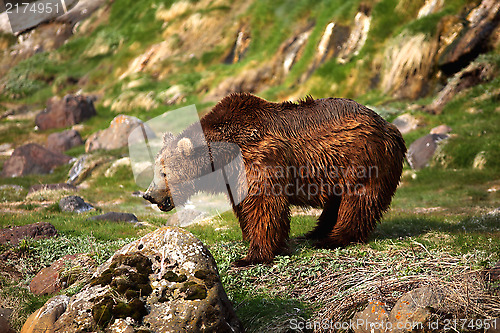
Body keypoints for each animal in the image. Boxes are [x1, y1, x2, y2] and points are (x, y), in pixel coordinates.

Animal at [144, 92, 406, 266]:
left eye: (164, 172)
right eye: (155, 169)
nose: (148, 194)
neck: (224, 156)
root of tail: (389, 126)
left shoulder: (259, 159)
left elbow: (264, 205)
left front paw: (252, 256)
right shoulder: (235, 177)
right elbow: (244, 206)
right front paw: (250, 238)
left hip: (360, 157)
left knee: (357, 199)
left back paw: (333, 238)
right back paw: (314, 232)